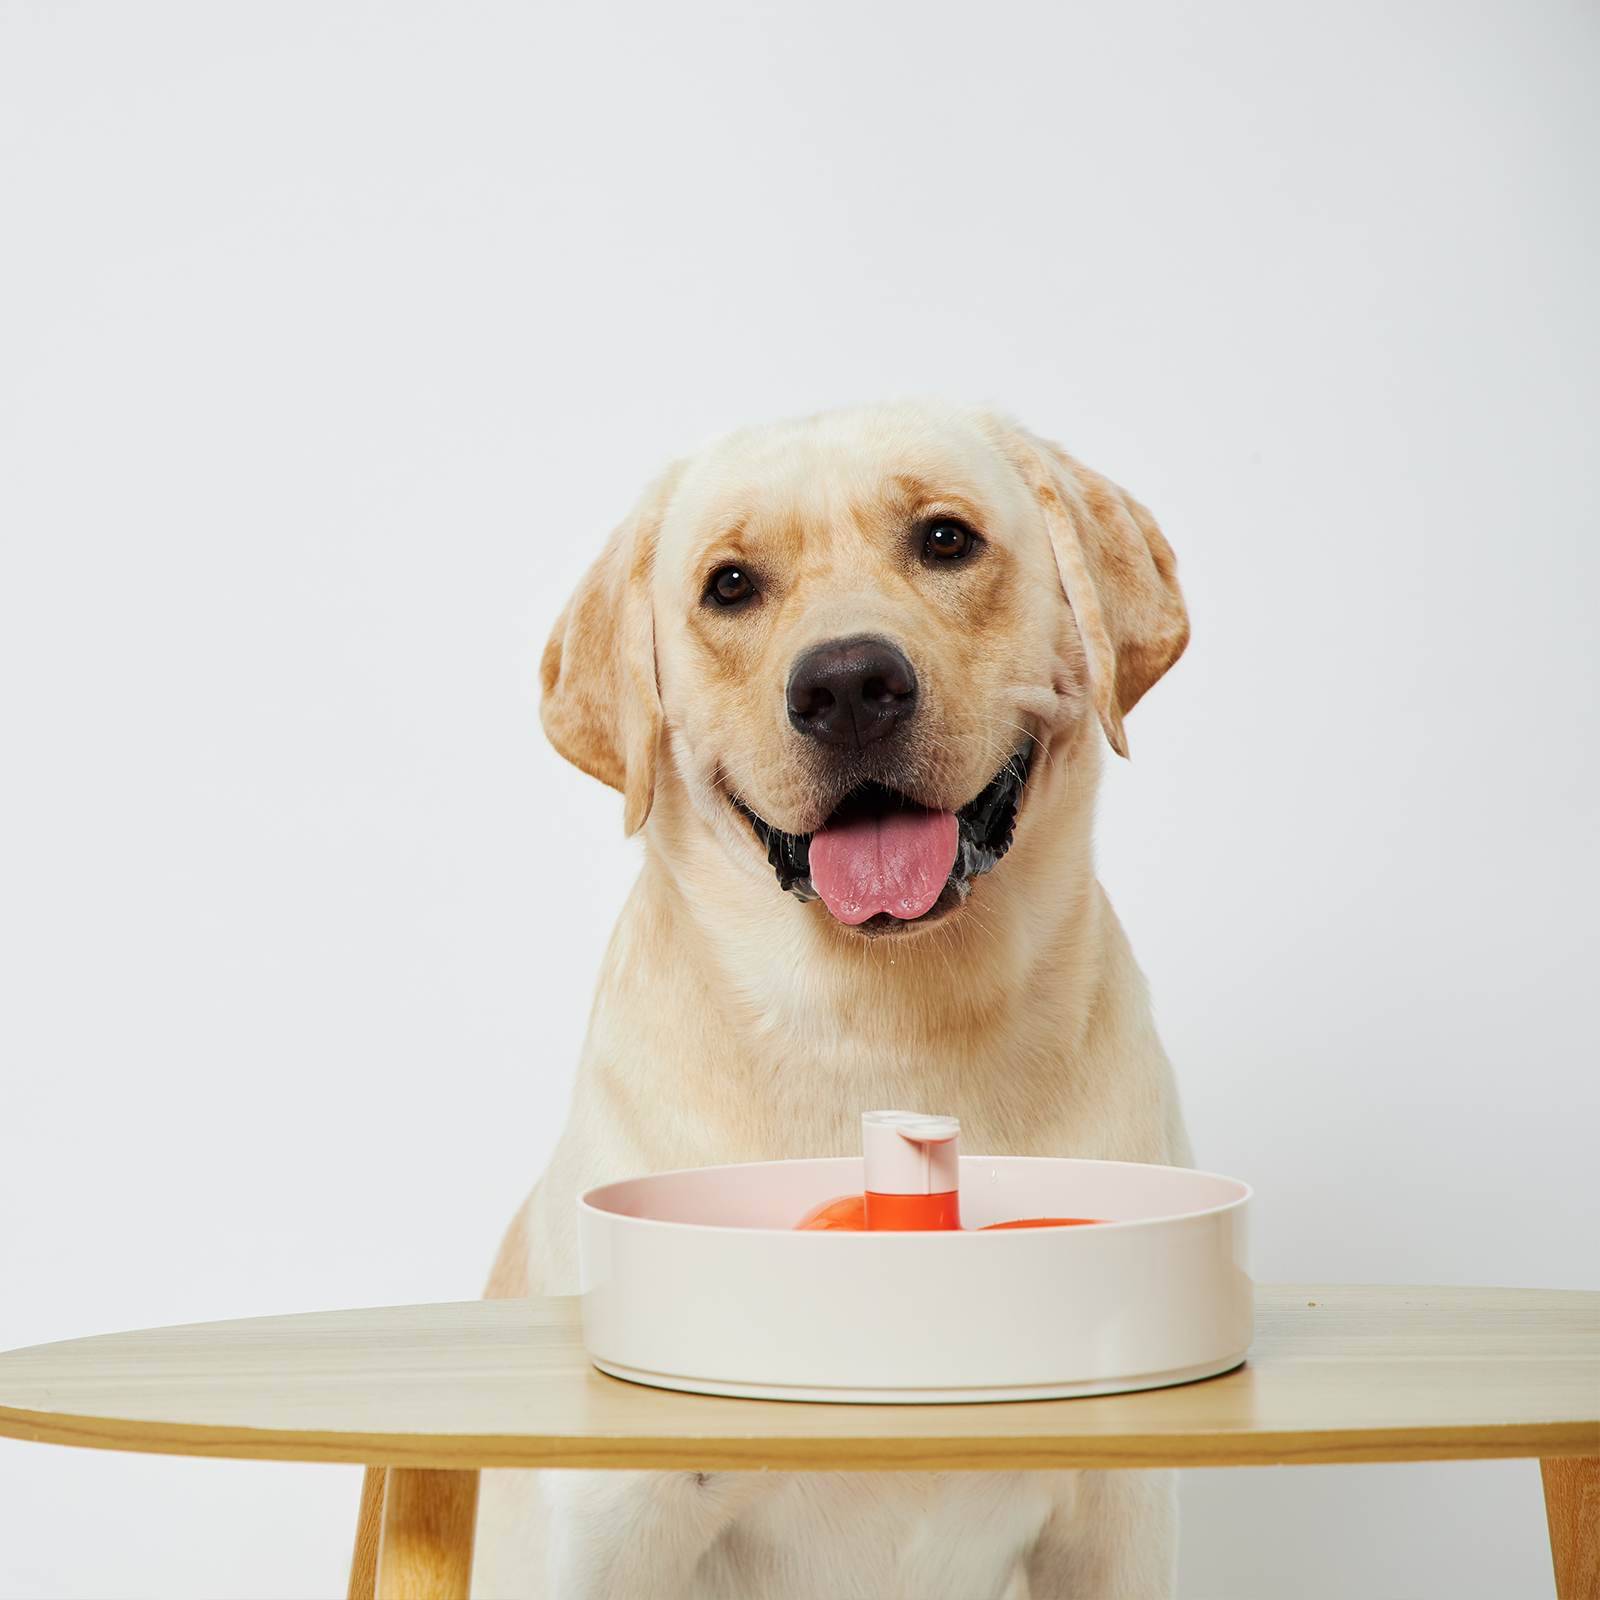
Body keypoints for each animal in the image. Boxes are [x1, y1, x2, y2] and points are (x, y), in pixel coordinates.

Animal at [470, 400, 1190, 1600]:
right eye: (729, 586)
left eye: (945, 539)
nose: (848, 685)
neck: (884, 1028)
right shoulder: (615, 1514)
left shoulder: (1119, 1519)